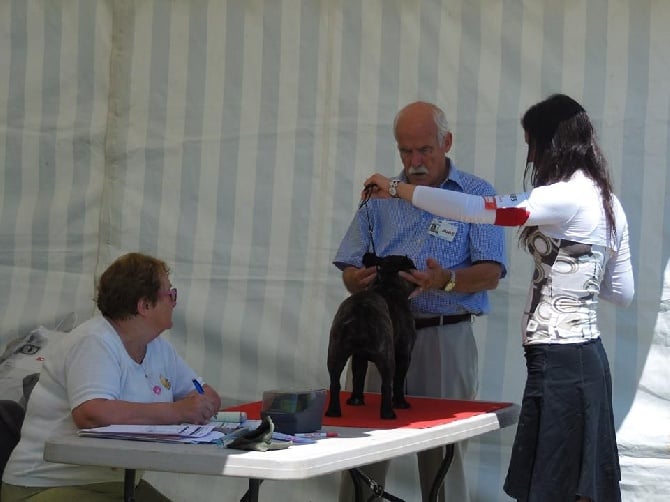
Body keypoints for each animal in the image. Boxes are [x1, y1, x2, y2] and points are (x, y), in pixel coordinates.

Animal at [326, 251, 418, 420]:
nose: (416, 267)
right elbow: (399, 382)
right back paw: (388, 414)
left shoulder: (359, 357)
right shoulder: (404, 353)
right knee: (387, 384)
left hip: (335, 352)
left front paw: (356, 400)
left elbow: (358, 377)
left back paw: (333, 411)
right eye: (410, 264)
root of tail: (360, 310)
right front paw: (401, 403)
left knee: (334, 382)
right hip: (387, 356)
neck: (387, 284)